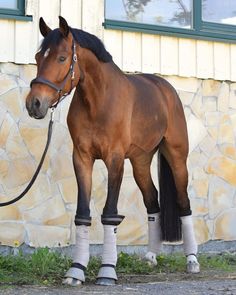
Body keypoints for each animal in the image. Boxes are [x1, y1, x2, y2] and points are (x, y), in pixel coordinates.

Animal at [25, 16, 199, 286]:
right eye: (37, 57)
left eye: (62, 58)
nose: (34, 104)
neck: (98, 101)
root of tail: (165, 87)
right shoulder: (82, 159)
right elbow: (82, 215)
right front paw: (76, 270)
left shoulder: (114, 159)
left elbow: (110, 214)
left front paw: (107, 270)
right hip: (140, 163)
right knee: (152, 202)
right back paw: (150, 257)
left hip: (177, 158)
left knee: (183, 203)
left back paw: (192, 260)